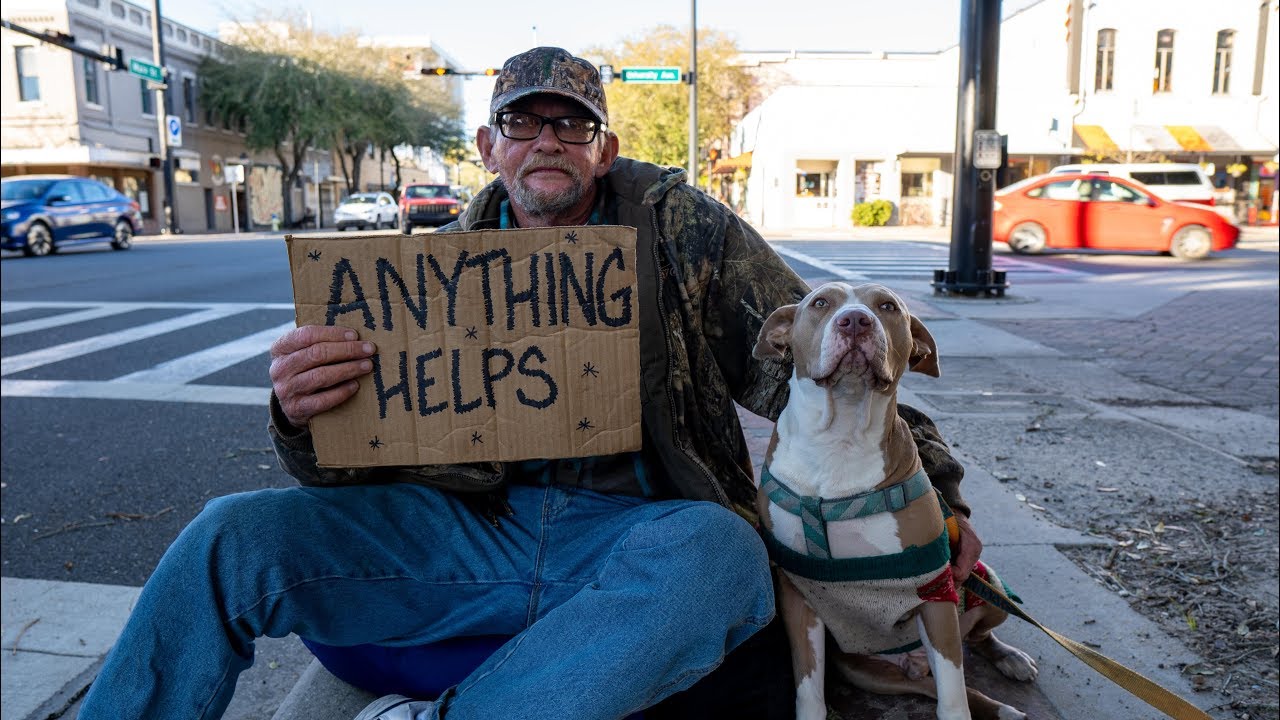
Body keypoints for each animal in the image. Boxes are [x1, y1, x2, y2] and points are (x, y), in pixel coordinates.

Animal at [747, 280, 1039, 717]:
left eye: (887, 306)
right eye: (820, 302)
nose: (855, 321)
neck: (841, 440)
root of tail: (911, 663)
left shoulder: (935, 590)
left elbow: (954, 697)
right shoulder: (797, 596)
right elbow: (809, 690)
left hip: (982, 583)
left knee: (973, 644)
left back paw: (1010, 663)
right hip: (868, 671)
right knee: (927, 687)